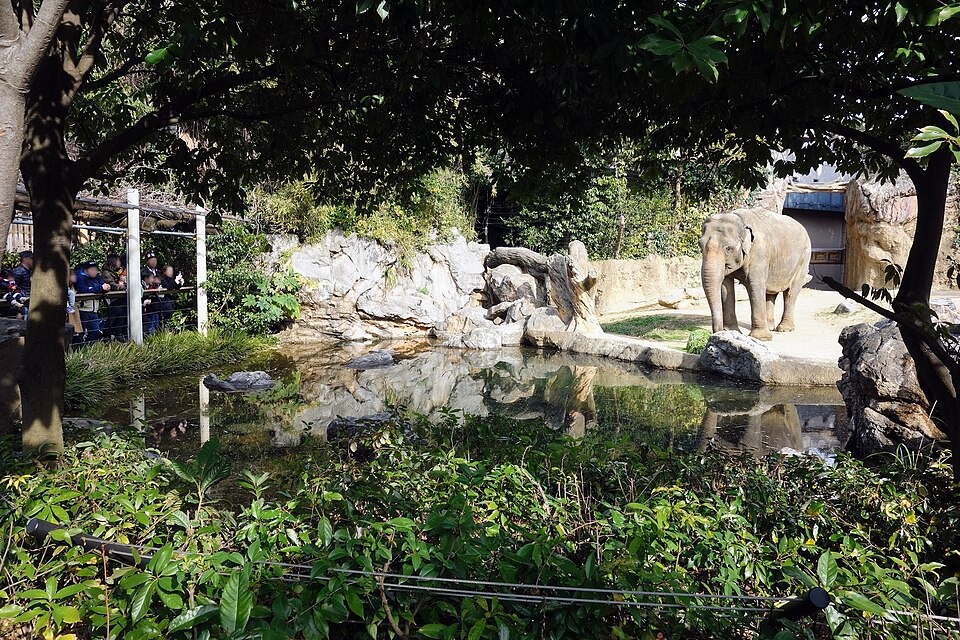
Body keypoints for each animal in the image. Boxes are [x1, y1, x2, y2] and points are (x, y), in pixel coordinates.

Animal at [699, 209, 812, 341]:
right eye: (700, 246)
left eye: (728, 248)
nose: (718, 332)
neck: (740, 220)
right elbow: (725, 287)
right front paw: (733, 332)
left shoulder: (759, 252)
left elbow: (755, 286)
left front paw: (761, 338)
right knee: (771, 291)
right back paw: (771, 327)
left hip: (804, 258)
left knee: (791, 292)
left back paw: (784, 329)